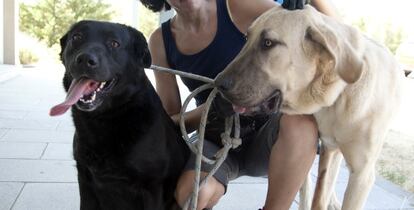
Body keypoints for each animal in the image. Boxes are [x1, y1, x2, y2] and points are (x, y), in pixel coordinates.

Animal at [49, 20, 189, 210]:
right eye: (77, 37)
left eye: (114, 43)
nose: (85, 60)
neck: (104, 119)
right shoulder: (84, 180)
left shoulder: (152, 188)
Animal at [215, 4, 402, 210]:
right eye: (247, 38)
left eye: (268, 43)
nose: (218, 84)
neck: (337, 96)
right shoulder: (327, 149)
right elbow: (316, 196)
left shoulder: (362, 174)